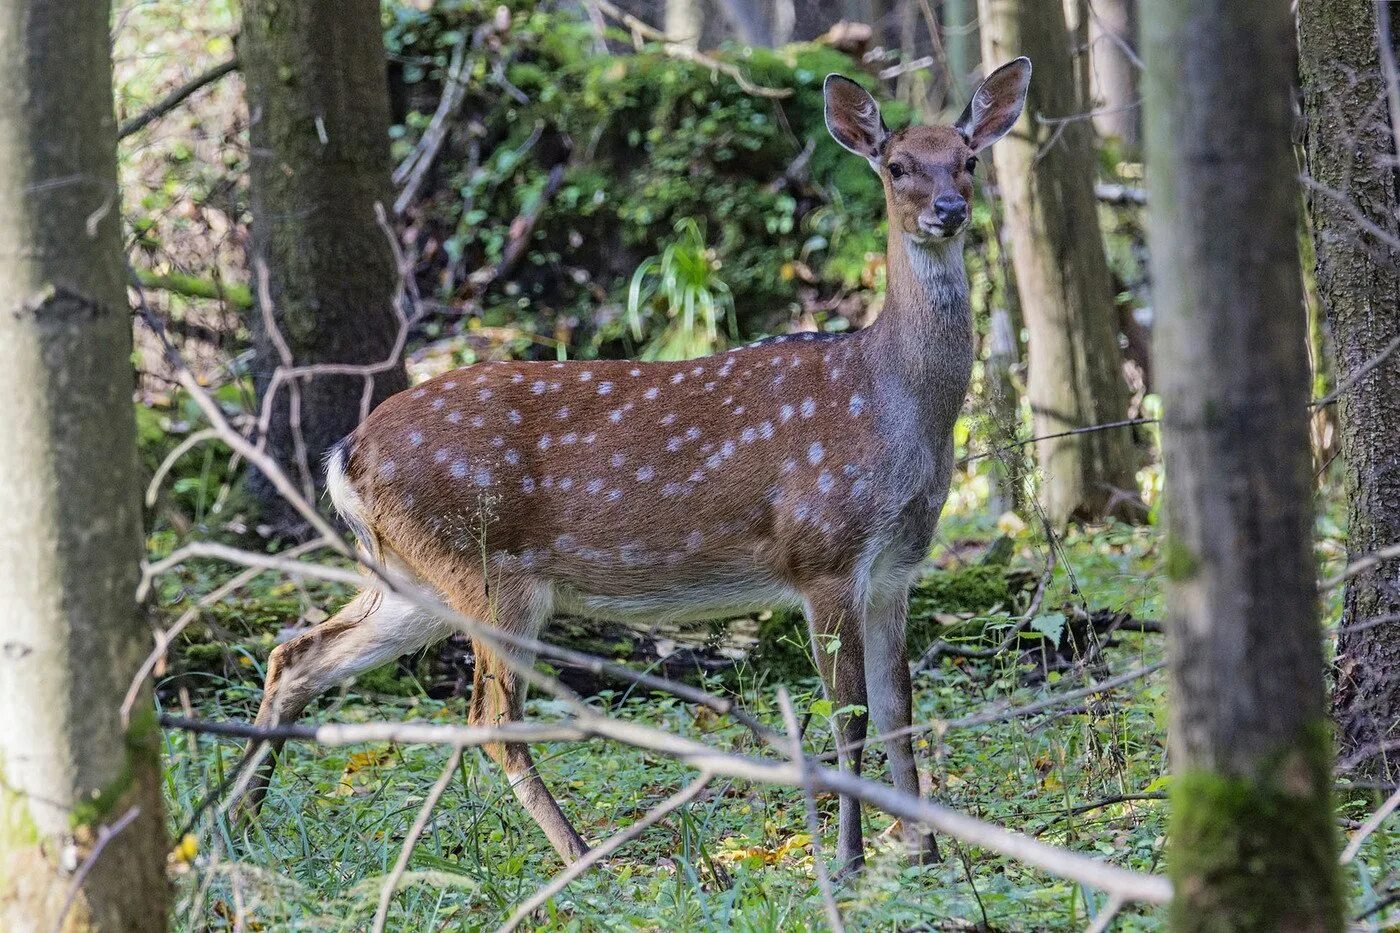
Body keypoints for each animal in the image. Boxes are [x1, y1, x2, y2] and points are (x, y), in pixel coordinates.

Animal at [238, 58, 1030, 874]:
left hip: (413, 576)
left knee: (297, 654)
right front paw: (849, 862)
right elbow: (851, 715)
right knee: (490, 715)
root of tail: (346, 453)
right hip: (487, 570)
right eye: (896, 165)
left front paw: (926, 852)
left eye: (969, 160)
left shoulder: (898, 567)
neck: (893, 407)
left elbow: (901, 707)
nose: (948, 209)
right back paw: (582, 852)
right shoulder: (824, 552)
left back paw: (237, 822)